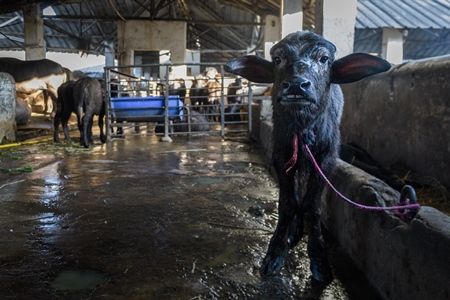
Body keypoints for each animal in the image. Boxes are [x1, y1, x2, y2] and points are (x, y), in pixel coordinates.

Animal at [225, 31, 390, 282]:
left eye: (324, 59)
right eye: (277, 59)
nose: (296, 85)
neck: (302, 127)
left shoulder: (325, 159)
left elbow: (312, 206)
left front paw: (319, 260)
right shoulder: (281, 156)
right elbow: (288, 203)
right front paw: (275, 253)